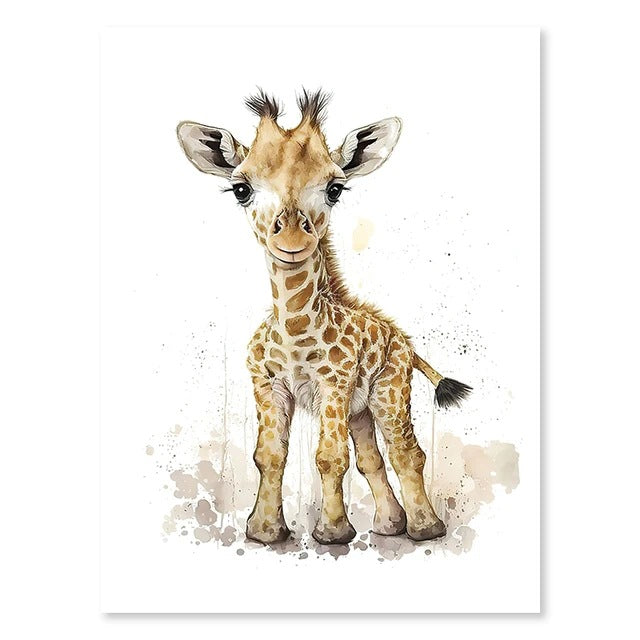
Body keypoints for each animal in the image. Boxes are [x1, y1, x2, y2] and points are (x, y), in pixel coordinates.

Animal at [177, 90, 471, 545]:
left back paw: (426, 528)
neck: (295, 326)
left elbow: (329, 456)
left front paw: (332, 533)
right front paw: (265, 531)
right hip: (360, 409)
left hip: (389, 391)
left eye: (335, 188)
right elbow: (269, 455)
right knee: (372, 457)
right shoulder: (267, 384)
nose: (292, 239)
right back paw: (389, 526)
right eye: (241, 188)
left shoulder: (333, 382)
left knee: (406, 451)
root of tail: (403, 339)